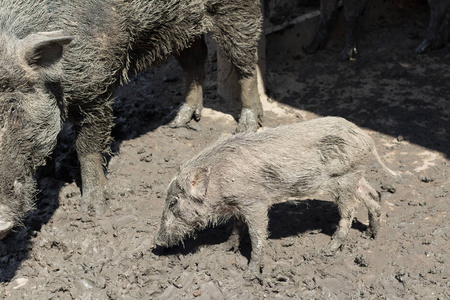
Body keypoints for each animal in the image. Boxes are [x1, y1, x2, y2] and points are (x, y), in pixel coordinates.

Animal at [0, 0, 262, 239]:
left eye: (13, 108)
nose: (1, 223)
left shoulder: (97, 85)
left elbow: (87, 147)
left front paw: (94, 210)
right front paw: (51, 172)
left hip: (236, 9)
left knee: (245, 59)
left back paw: (247, 126)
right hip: (184, 23)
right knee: (194, 55)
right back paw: (179, 122)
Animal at [155, 116, 398, 282]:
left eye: (173, 202)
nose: (156, 243)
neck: (219, 180)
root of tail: (367, 138)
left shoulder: (255, 203)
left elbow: (257, 235)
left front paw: (248, 275)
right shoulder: (239, 205)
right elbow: (236, 228)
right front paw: (222, 249)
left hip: (344, 180)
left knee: (349, 212)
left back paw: (328, 250)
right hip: (356, 177)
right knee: (373, 196)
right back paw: (370, 235)